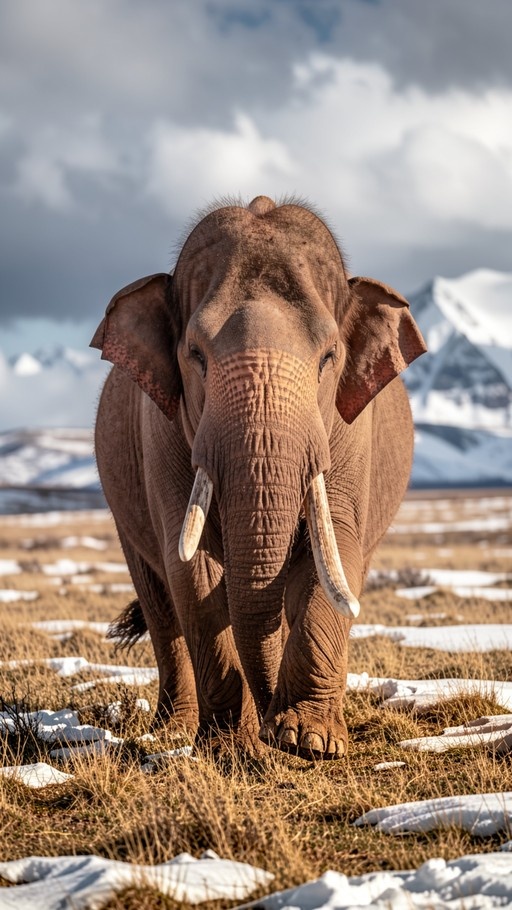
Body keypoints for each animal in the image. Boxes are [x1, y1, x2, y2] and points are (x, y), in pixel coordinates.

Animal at [91, 195, 426, 760]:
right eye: (195, 355)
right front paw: (229, 746)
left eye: (329, 357)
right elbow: (193, 570)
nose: (271, 730)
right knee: (160, 603)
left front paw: (308, 742)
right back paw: (174, 731)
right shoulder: (159, 432)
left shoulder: (351, 432)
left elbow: (338, 550)